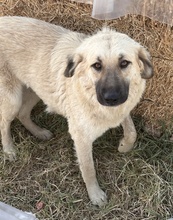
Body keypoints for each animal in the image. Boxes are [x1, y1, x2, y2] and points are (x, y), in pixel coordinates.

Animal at [0, 15, 153, 206]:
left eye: (124, 63)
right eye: (97, 65)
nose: (111, 98)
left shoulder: (122, 108)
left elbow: (132, 131)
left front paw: (124, 146)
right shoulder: (81, 137)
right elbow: (88, 169)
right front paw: (95, 195)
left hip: (36, 90)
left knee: (22, 114)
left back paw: (39, 133)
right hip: (13, 99)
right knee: (4, 123)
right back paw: (9, 150)